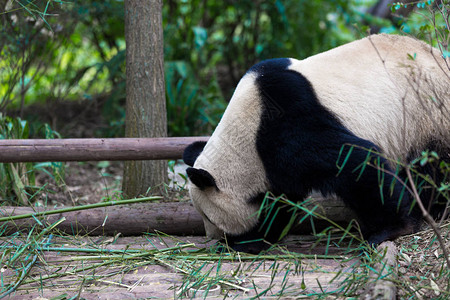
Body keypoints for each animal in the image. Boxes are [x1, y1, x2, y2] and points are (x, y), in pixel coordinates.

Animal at [183, 34, 450, 253]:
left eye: (209, 217)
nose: (212, 236)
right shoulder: (274, 168)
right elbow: (278, 203)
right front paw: (256, 239)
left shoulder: (289, 123)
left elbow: (354, 160)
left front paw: (393, 228)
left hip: (427, 111)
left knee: (431, 165)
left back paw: (433, 208)